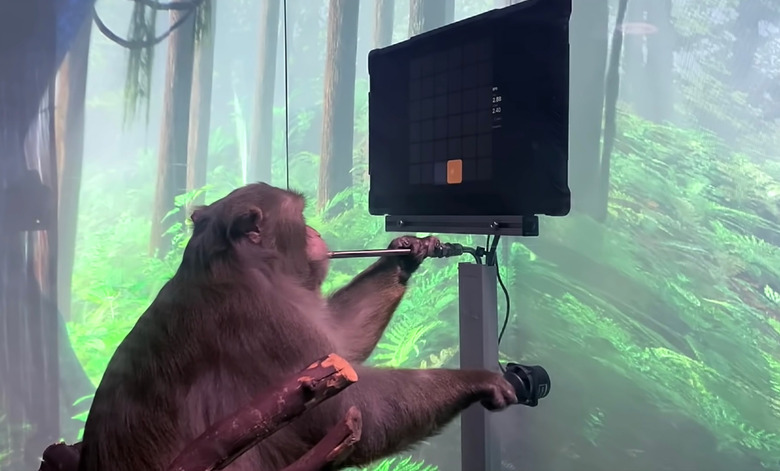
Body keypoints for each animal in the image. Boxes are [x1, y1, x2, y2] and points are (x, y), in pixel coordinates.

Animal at [76, 182, 518, 471]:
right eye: (301, 217)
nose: (314, 231)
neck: (240, 265)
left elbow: (342, 342)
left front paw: (408, 252)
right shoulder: (263, 318)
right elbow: (355, 408)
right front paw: (477, 379)